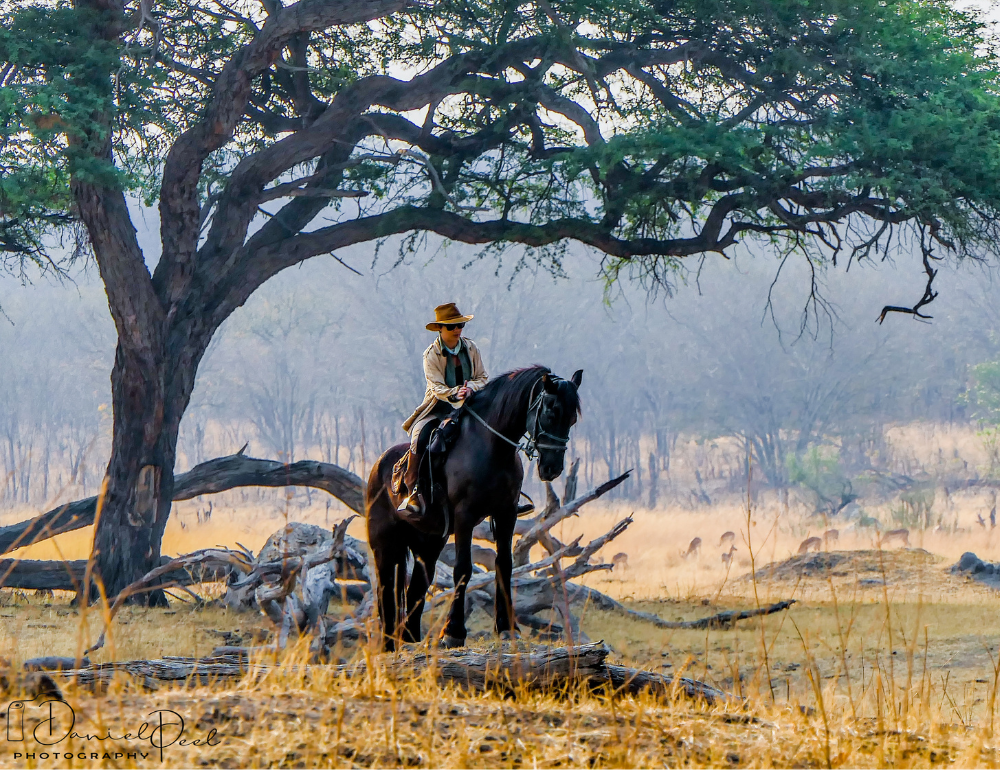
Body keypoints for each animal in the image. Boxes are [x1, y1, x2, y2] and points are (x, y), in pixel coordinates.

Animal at [368, 364, 584, 644]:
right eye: (550, 412)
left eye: (572, 419)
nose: (552, 468)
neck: (492, 448)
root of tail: (378, 466)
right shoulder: (464, 516)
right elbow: (462, 568)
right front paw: (453, 632)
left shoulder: (506, 514)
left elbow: (504, 564)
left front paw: (507, 626)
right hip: (384, 544)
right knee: (385, 590)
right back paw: (389, 642)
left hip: (428, 543)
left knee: (416, 587)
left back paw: (409, 638)